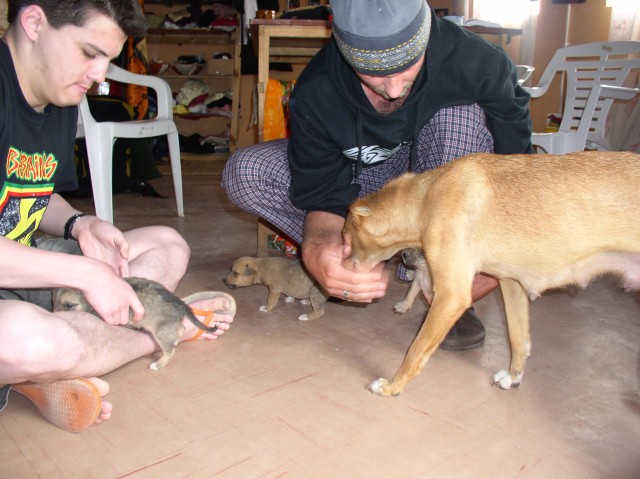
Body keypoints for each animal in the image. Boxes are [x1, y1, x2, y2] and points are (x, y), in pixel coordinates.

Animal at [52, 278, 218, 372]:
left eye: (69, 305)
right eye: (53, 302)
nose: (53, 314)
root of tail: (181, 304)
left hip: (160, 331)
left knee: (169, 350)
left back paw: (158, 364)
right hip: (169, 326)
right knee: (181, 329)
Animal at [342, 153, 640, 398]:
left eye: (345, 236)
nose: (344, 264)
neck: (428, 198)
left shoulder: (451, 296)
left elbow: (415, 350)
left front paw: (392, 386)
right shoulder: (512, 286)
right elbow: (519, 340)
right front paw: (513, 377)